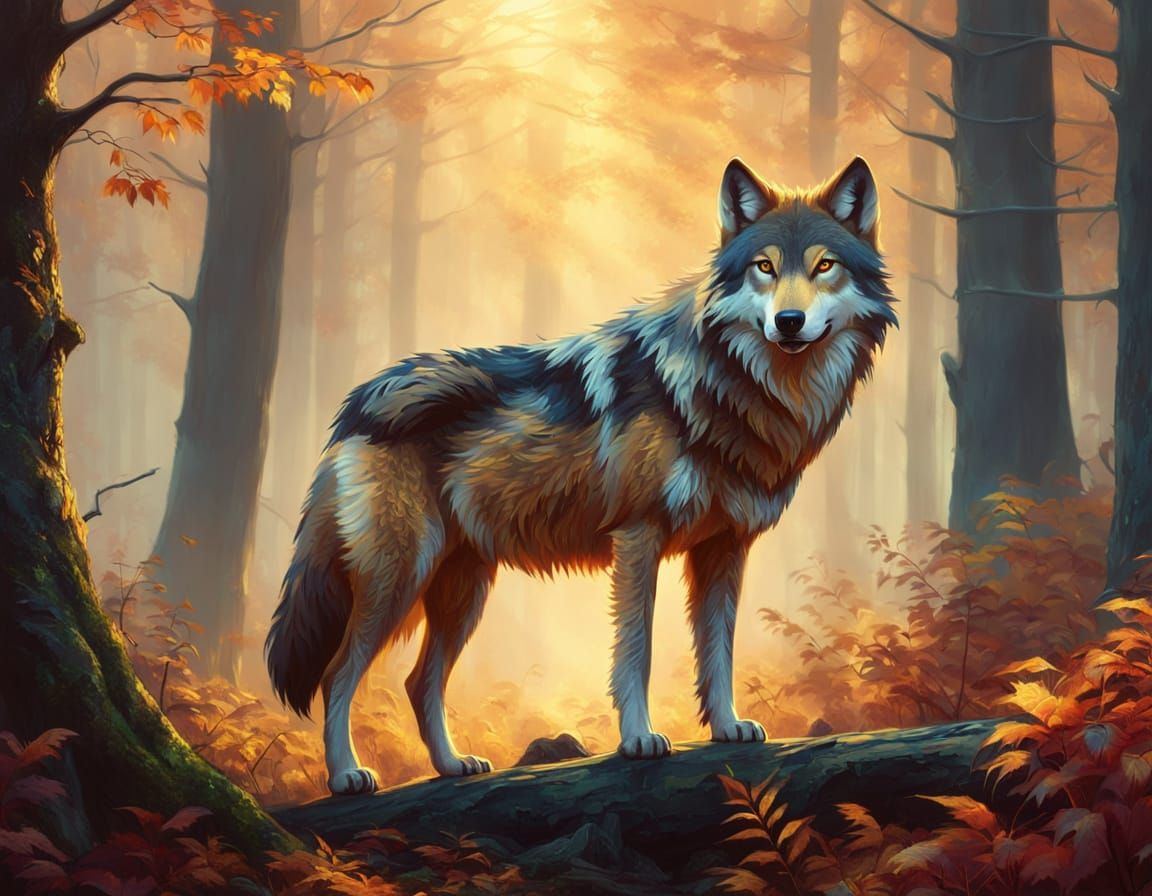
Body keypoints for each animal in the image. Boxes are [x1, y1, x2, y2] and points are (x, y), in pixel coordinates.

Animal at [266, 156, 896, 795]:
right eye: (764, 267)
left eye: (824, 266)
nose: (788, 322)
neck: (730, 387)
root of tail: (355, 404)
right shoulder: (639, 537)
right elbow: (636, 651)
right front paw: (640, 740)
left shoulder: (724, 547)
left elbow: (717, 653)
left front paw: (727, 728)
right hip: (400, 577)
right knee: (337, 675)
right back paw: (347, 775)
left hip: (462, 590)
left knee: (419, 683)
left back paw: (452, 766)